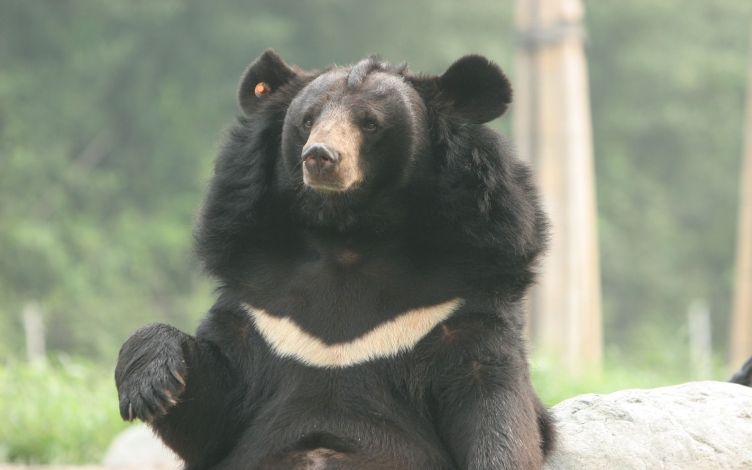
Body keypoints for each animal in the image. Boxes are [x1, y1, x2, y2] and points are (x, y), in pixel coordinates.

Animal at [115, 49, 555, 470]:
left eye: (370, 123)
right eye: (307, 120)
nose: (320, 156)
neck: (348, 236)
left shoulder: (454, 304)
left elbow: (490, 398)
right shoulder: (263, 311)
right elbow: (215, 412)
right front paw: (150, 388)